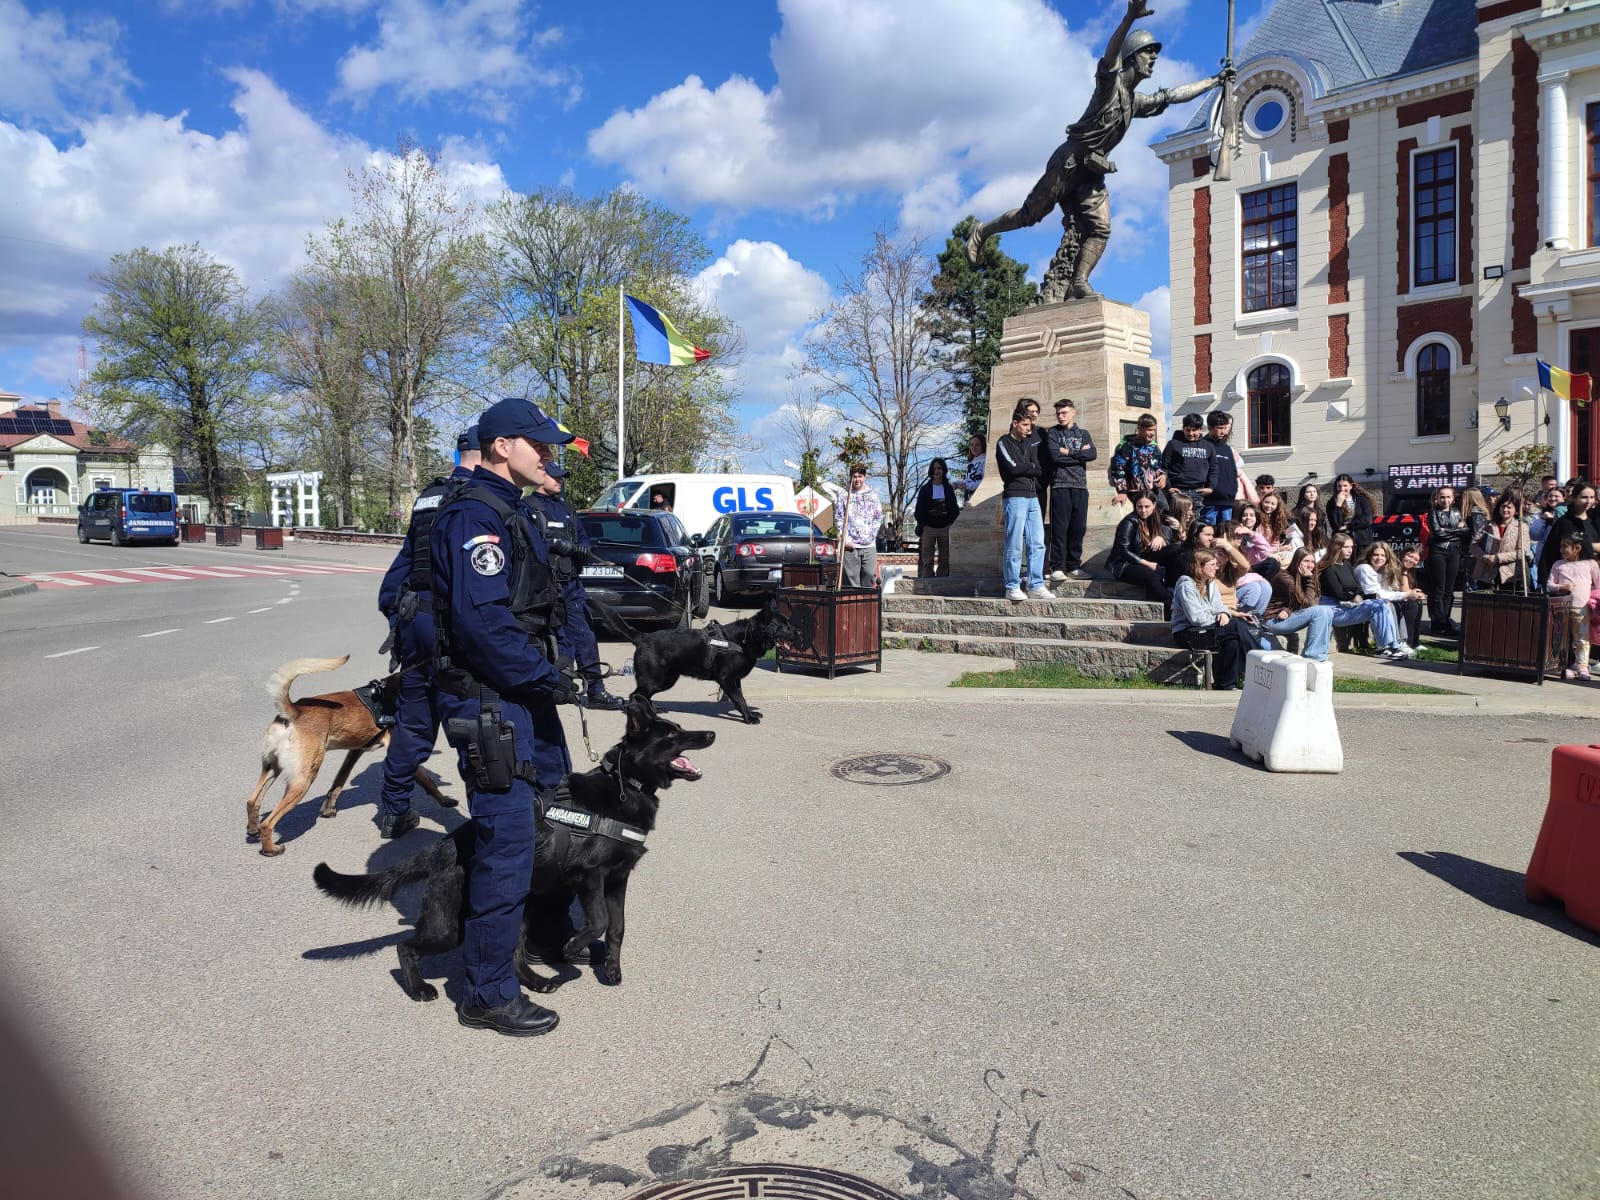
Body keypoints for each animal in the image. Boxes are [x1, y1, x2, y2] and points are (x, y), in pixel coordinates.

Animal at [246, 659, 454, 857]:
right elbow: (428, 781)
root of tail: (294, 712)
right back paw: (270, 849)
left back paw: (253, 829)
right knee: (268, 822)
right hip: (303, 779)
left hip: (272, 768)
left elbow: (338, 783)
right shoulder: (403, 752)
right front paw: (445, 801)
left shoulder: (355, 752)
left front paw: (328, 809)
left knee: (252, 801)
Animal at [312, 700, 713, 998]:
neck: (626, 784)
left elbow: (617, 928)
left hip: (520, 911)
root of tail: (443, 847)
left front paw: (612, 968)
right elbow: (599, 920)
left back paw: (534, 981)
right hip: (449, 926)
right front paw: (573, 947)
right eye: (672, 734)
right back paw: (419, 987)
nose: (710, 733)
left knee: (515, 954)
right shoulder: (588, 876)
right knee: (406, 948)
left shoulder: (617, 880)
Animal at [627, 598, 806, 729]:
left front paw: (748, 714)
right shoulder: (726, 679)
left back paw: (654, 710)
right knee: (635, 695)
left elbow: (740, 698)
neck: (745, 638)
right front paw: (749, 718)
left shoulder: (735, 680)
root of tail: (642, 637)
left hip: (666, 680)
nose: (799, 632)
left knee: (643, 695)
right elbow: (740, 699)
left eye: (789, 624)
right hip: (654, 680)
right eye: (784, 626)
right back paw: (649, 714)